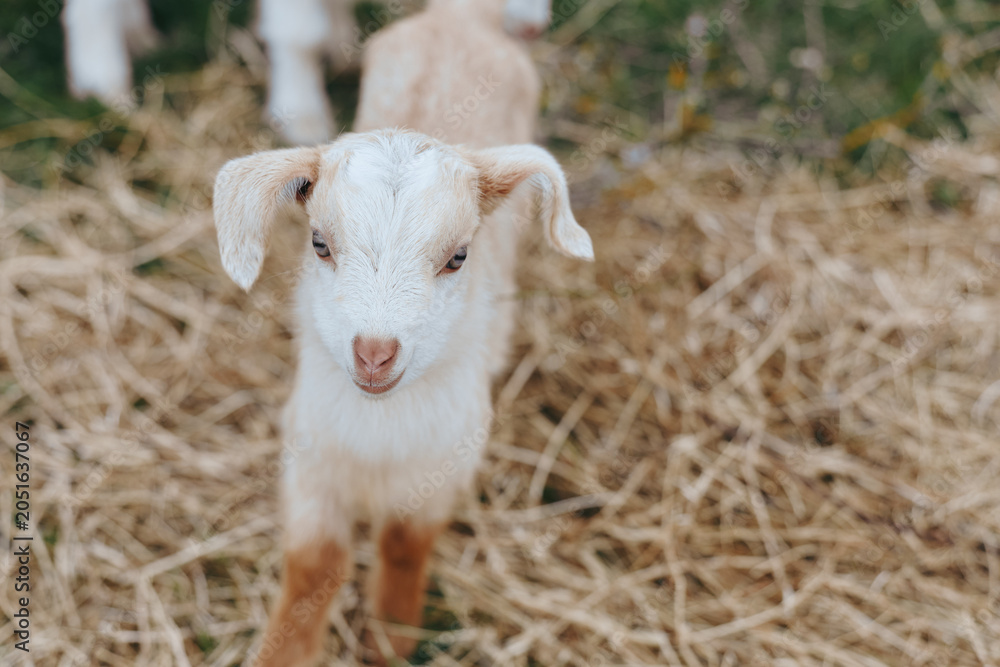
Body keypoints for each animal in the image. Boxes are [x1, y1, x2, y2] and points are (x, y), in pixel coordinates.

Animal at [212, 0, 591, 663]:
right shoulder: (309, 457)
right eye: (319, 243)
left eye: (459, 256)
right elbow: (314, 563)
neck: (379, 432)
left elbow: (404, 545)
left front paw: (391, 634)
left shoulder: (445, 463)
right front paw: (286, 650)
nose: (373, 354)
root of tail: (462, 16)